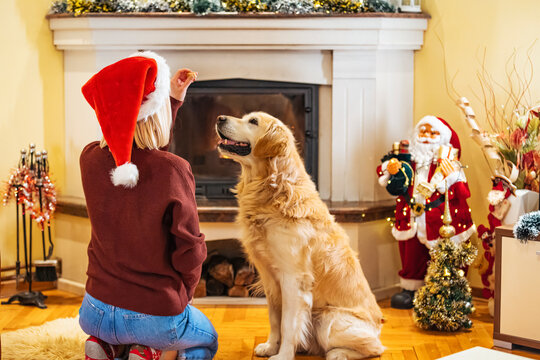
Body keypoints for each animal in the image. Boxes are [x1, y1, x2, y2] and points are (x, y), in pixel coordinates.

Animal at [215, 112, 384, 360]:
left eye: (253, 121)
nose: (219, 118)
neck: (272, 189)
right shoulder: (269, 278)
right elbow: (275, 319)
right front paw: (271, 346)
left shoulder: (293, 278)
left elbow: (288, 323)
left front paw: (283, 355)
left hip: (327, 318)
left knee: (374, 347)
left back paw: (338, 353)